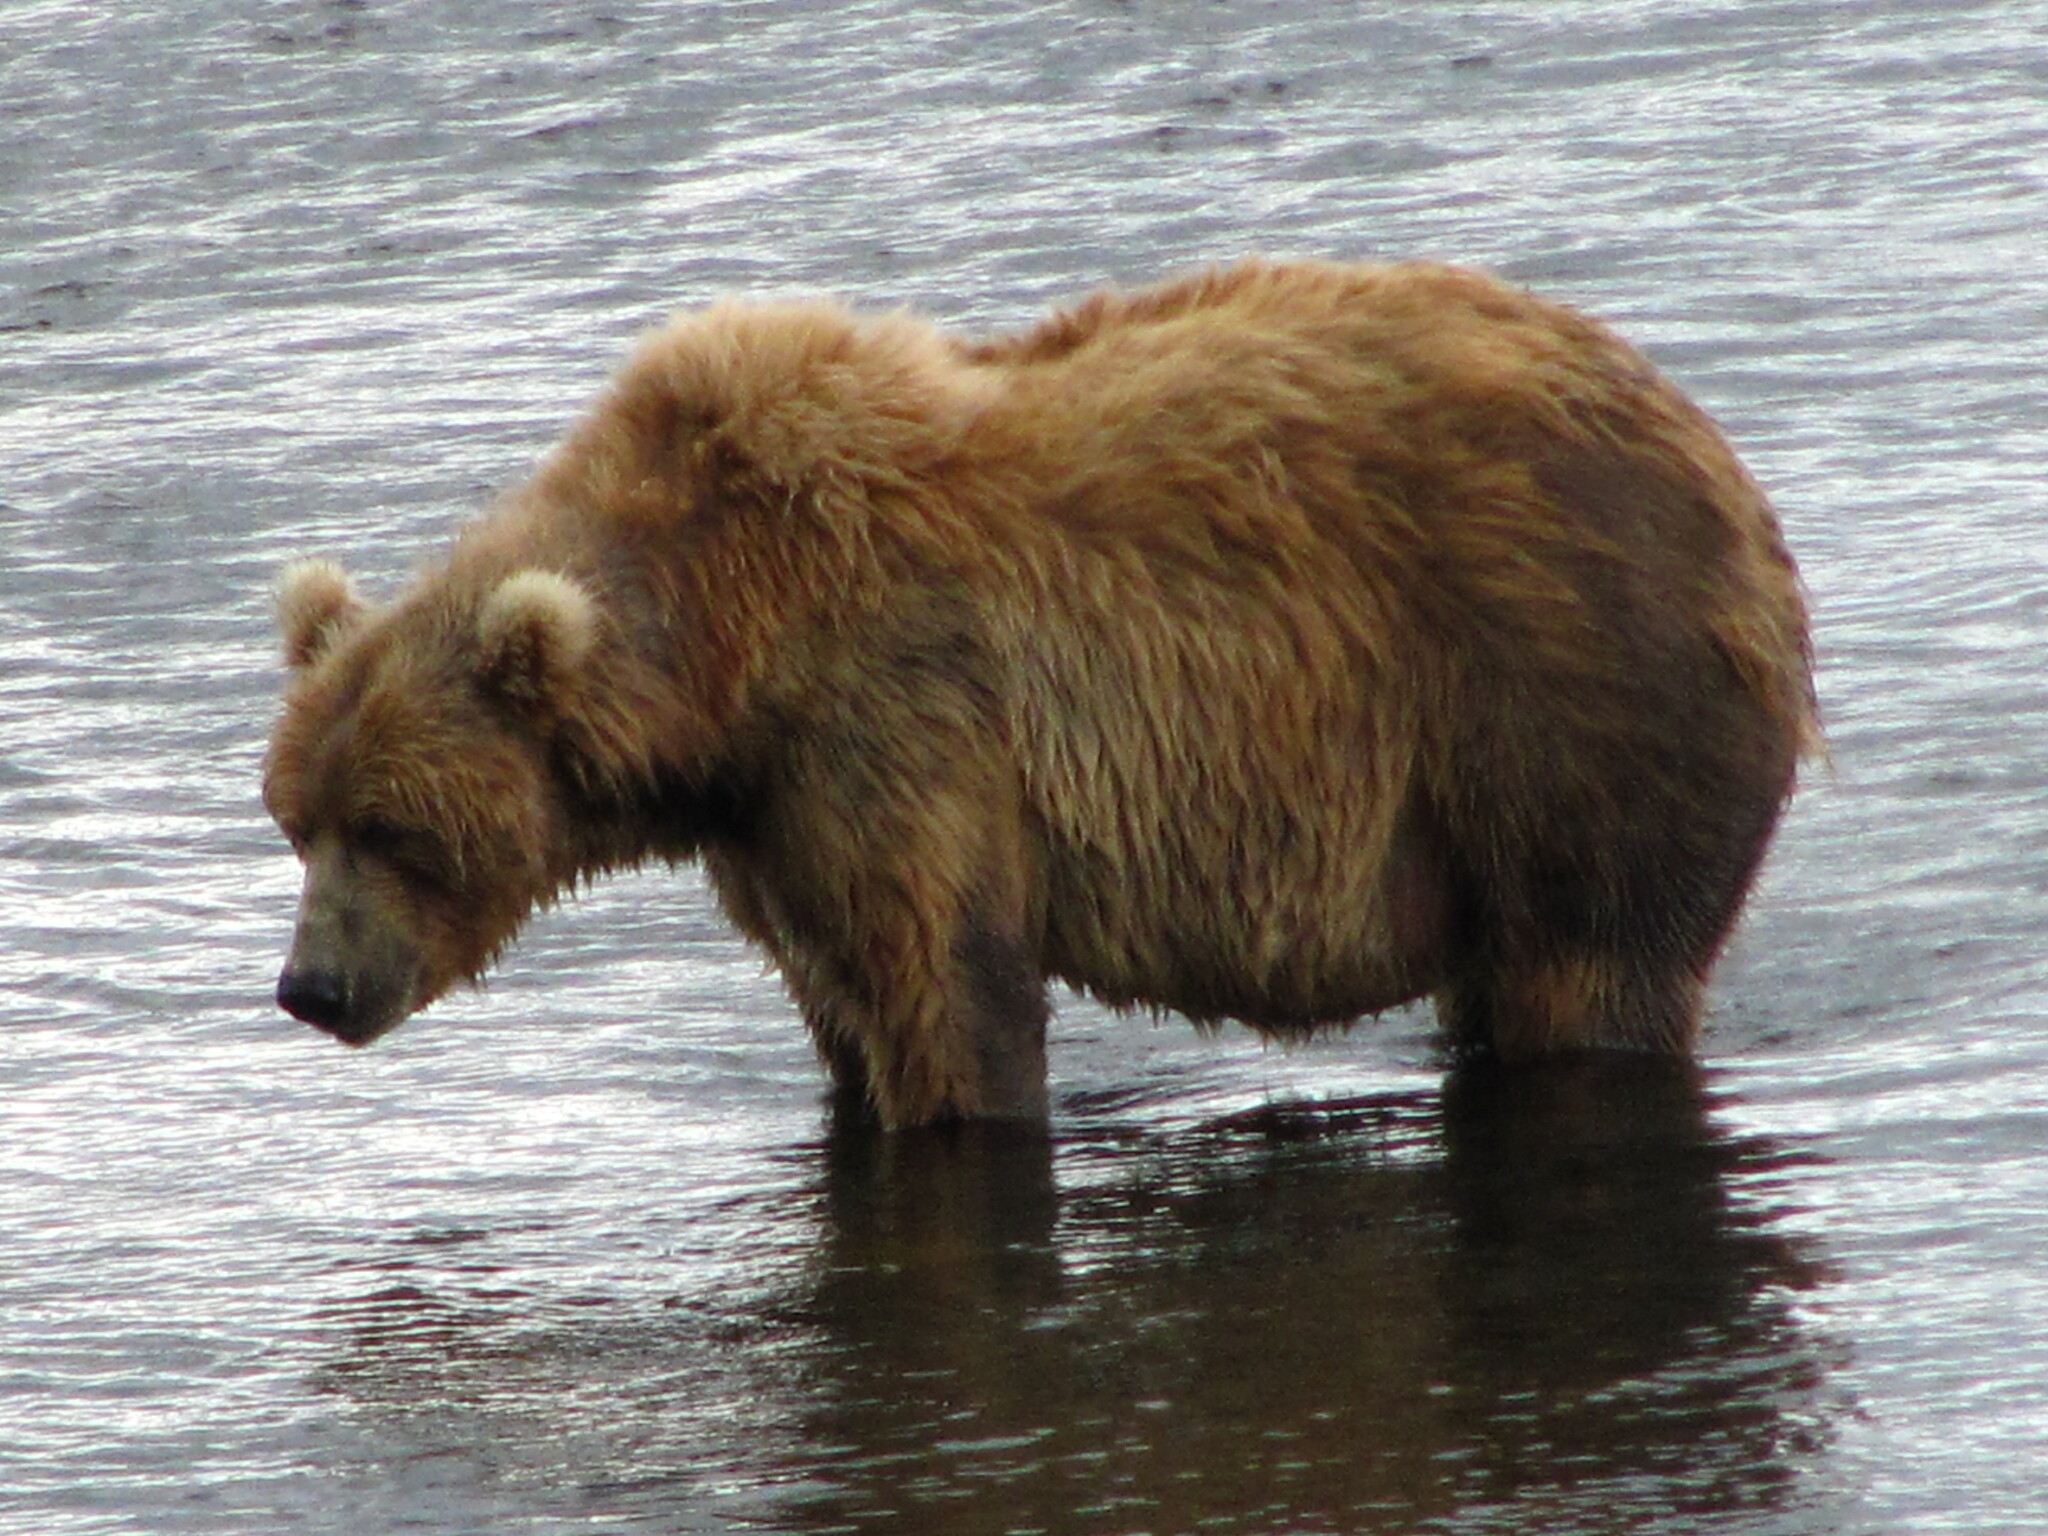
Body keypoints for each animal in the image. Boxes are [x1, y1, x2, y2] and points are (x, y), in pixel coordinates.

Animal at [264, 259, 1818, 1130]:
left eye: (395, 829)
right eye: (296, 820)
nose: (310, 987)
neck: (722, 652)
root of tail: (1722, 462)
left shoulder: (899, 722)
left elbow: (948, 992)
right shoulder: (770, 819)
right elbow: (840, 998)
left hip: (1570, 693)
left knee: (1587, 966)